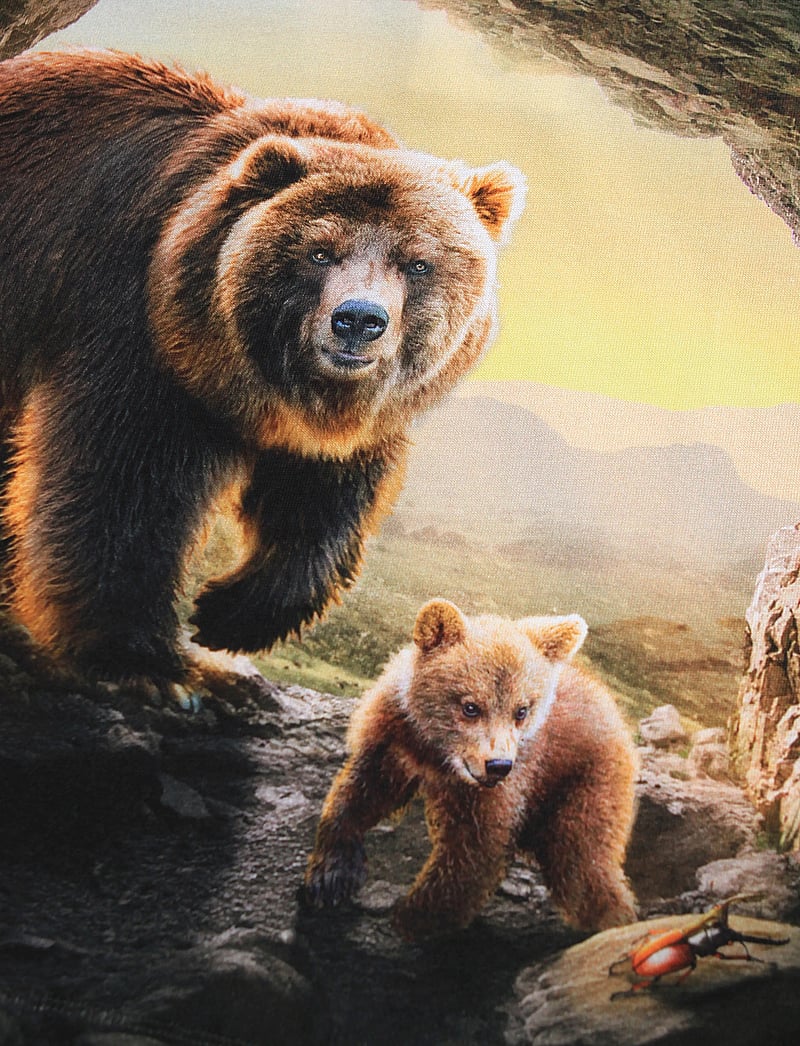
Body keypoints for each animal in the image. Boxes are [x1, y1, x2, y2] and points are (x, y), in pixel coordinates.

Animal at [0, 49, 524, 685]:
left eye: (417, 262)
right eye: (320, 251)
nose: (358, 320)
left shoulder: (356, 423)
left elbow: (321, 509)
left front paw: (227, 613)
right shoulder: (138, 334)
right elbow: (119, 481)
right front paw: (142, 658)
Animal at [304, 599, 638, 940]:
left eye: (521, 711)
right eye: (470, 707)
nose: (498, 765)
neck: (436, 754)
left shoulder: (509, 783)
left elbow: (474, 852)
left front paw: (411, 920)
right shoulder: (394, 738)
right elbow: (362, 791)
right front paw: (331, 874)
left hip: (587, 783)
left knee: (583, 865)